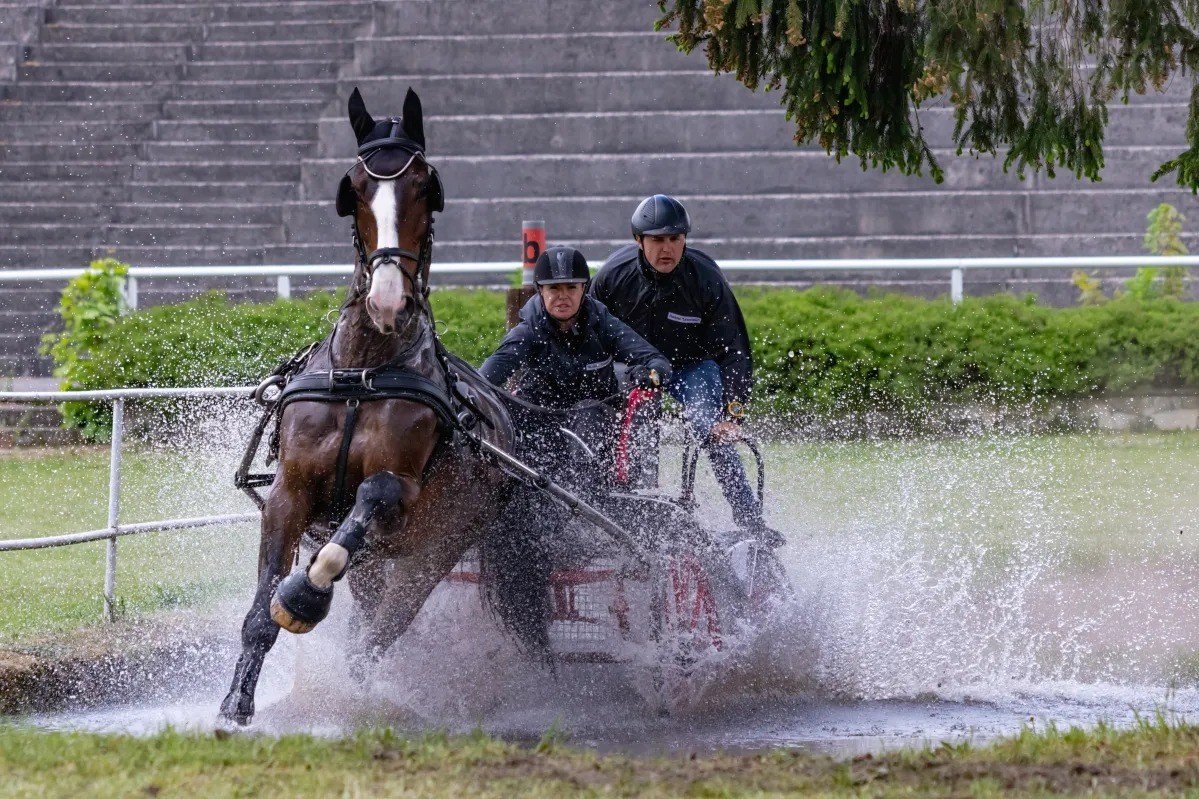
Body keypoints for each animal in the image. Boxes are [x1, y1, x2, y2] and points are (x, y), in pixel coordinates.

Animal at [220, 86, 520, 719]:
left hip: (430, 553)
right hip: (380, 561)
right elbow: (261, 610)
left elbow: (364, 510)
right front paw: (236, 701)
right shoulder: (291, 490)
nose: (386, 299)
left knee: (382, 632)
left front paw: (304, 595)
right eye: (354, 187)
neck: (364, 372)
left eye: (426, 186)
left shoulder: (398, 494)